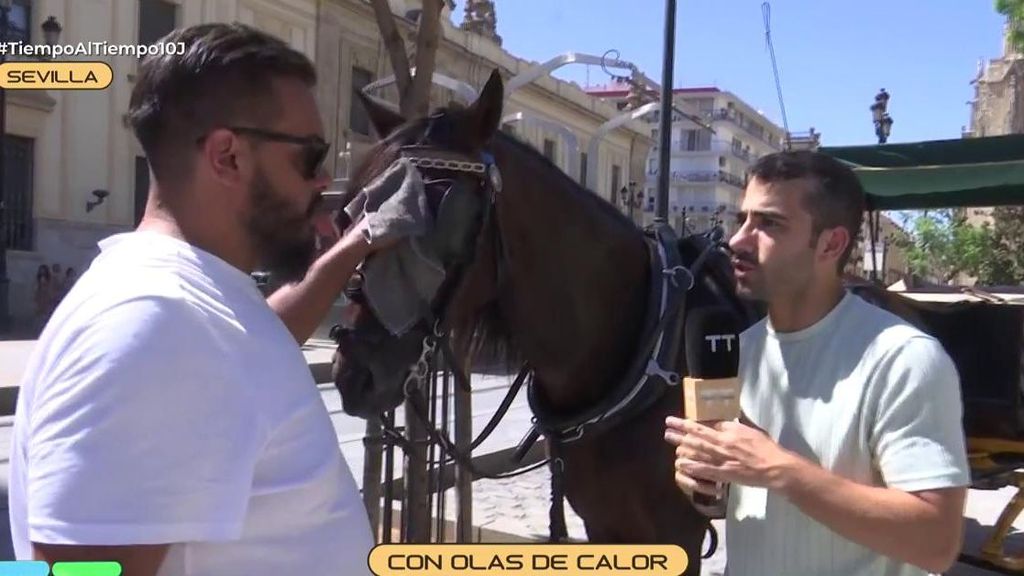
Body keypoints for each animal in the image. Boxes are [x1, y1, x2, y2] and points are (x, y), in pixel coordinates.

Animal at [331, 69, 757, 569]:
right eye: (348, 217)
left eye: (439, 215)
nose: (354, 372)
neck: (645, 336)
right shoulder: (605, 524)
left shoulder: (679, 534)